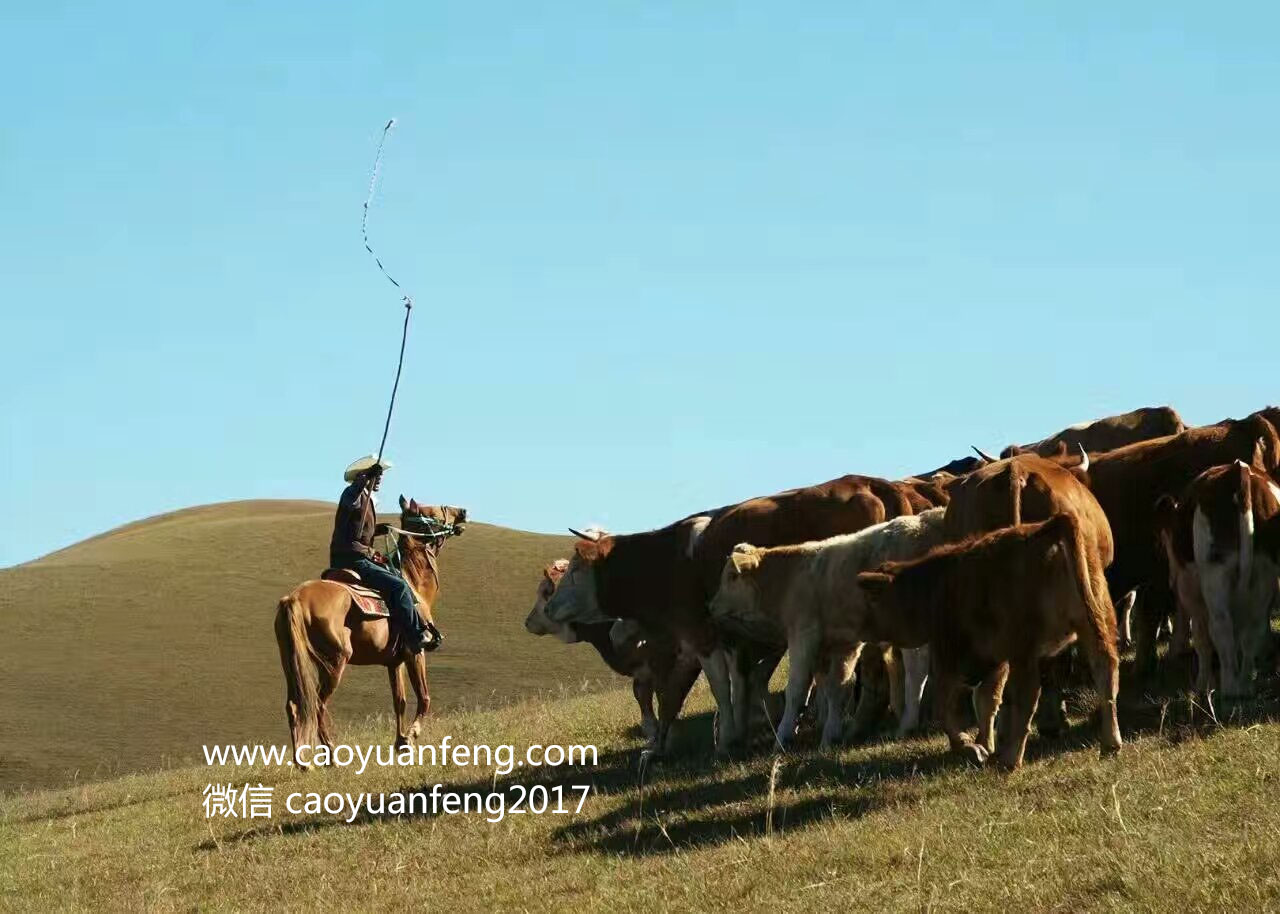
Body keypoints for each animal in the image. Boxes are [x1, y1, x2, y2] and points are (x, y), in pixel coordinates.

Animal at [272, 494, 468, 762]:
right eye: (435, 511)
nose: (463, 512)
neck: (413, 582)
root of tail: (294, 599)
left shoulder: (394, 661)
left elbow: (400, 701)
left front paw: (400, 742)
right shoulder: (416, 651)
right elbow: (424, 698)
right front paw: (412, 736)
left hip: (291, 660)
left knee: (295, 705)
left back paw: (304, 762)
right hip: (335, 662)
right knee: (317, 704)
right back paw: (330, 754)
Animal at [860, 517, 1121, 762]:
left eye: (874, 602)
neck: (935, 586)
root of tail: (1049, 526)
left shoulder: (951, 653)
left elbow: (945, 705)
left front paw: (968, 745)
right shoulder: (995, 659)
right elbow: (987, 700)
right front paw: (984, 744)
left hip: (1024, 648)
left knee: (1028, 693)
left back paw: (1010, 760)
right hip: (1094, 625)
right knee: (1105, 671)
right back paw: (1110, 744)